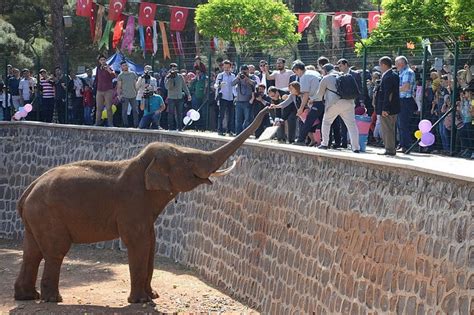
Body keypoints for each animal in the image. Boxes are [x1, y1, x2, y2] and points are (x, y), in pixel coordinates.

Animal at [14, 108, 268, 304]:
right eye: (188, 159)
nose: (270, 107)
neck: (143, 163)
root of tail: (27, 191)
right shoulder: (132, 202)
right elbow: (139, 242)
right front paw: (140, 301)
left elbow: (152, 242)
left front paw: (152, 297)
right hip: (48, 215)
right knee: (55, 250)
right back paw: (52, 299)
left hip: (35, 217)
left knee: (32, 251)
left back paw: (28, 296)